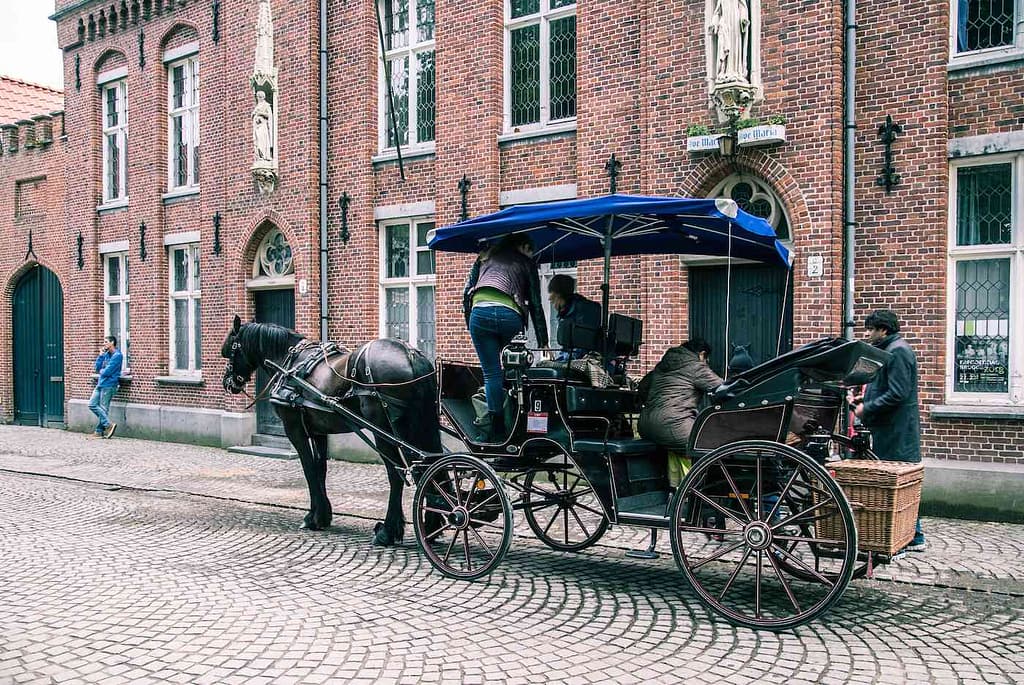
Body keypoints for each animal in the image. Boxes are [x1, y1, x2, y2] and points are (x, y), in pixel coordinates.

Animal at [220, 315, 440, 544]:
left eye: (230, 350)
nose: (228, 382)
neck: (288, 362)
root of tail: (410, 353)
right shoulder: (319, 431)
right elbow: (320, 469)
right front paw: (323, 516)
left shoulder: (294, 429)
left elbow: (308, 469)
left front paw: (312, 518)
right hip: (415, 427)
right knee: (431, 467)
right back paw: (431, 526)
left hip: (388, 430)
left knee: (399, 473)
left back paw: (388, 531)